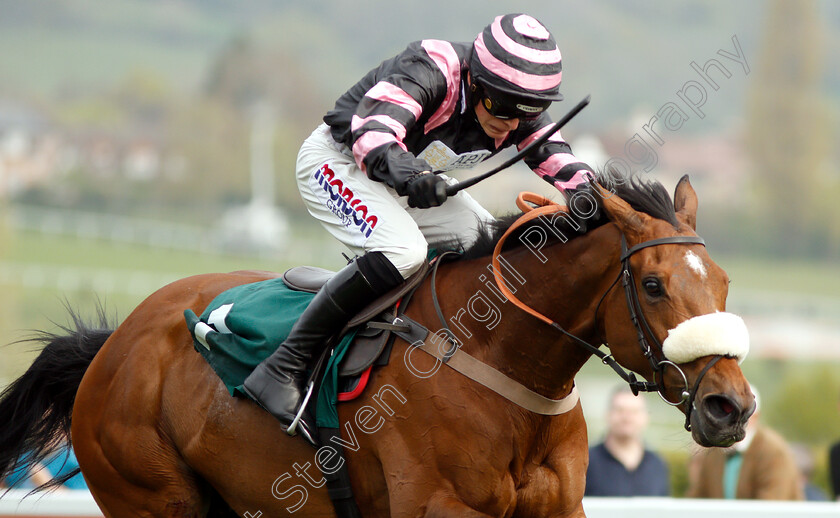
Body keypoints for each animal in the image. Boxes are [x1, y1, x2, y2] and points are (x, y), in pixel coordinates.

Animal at [1, 177, 756, 516]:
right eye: (654, 286)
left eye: (723, 281)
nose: (731, 406)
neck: (500, 360)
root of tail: (112, 345)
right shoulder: (442, 508)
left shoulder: (558, 508)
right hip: (151, 495)